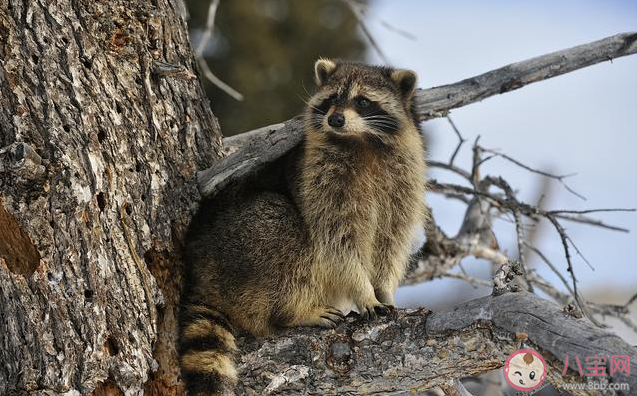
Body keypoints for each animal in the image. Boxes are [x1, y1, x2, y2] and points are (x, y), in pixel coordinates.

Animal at [179, 59, 428, 396]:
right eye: (332, 98)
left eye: (363, 101)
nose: (335, 119)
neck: (361, 141)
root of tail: (199, 267)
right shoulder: (320, 184)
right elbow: (337, 242)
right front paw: (364, 292)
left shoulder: (403, 183)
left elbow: (391, 241)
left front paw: (384, 290)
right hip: (239, 243)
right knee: (283, 230)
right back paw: (294, 311)